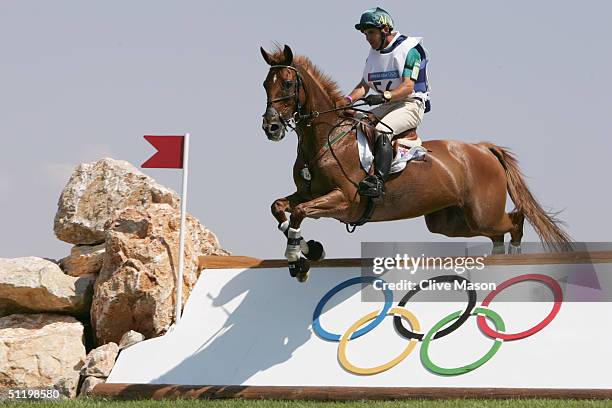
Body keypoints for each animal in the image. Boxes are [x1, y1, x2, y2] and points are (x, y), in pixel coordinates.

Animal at [260, 43, 572, 280]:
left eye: (287, 83)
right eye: (265, 85)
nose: (271, 127)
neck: (326, 139)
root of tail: (482, 149)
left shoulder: (344, 199)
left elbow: (299, 211)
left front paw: (297, 257)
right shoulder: (308, 192)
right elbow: (280, 207)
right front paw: (306, 249)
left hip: (483, 213)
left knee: (515, 221)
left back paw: (516, 260)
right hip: (451, 222)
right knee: (497, 233)